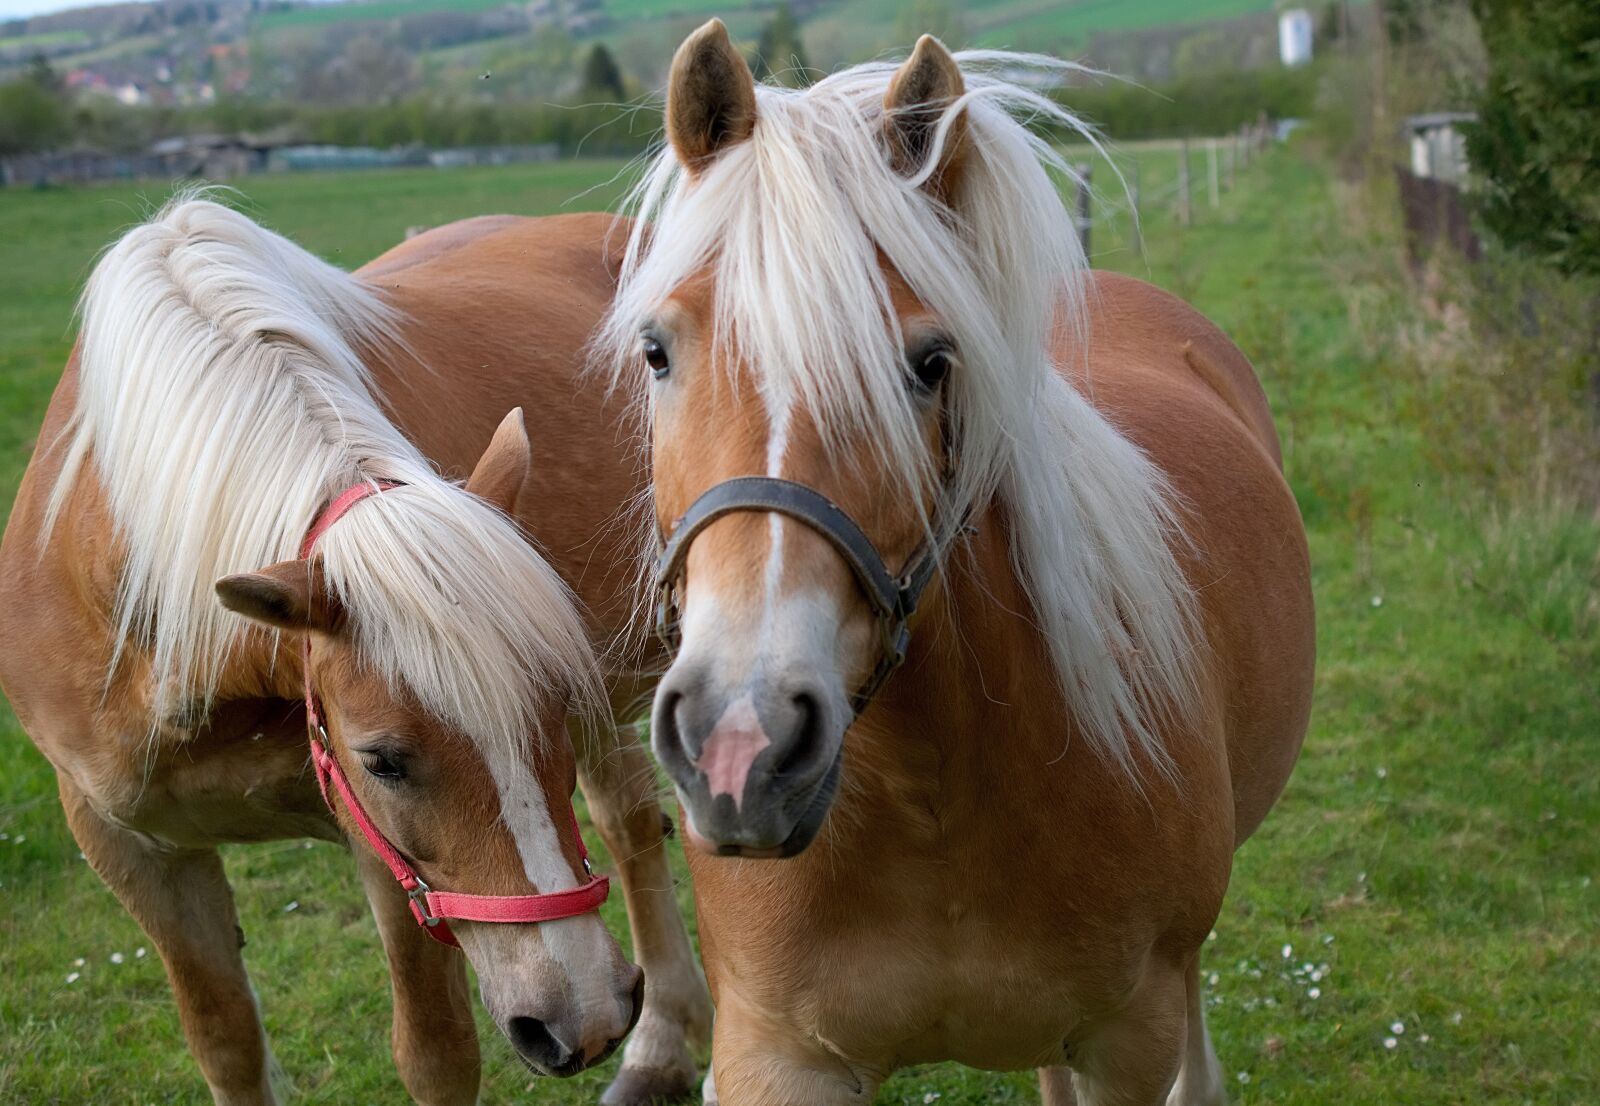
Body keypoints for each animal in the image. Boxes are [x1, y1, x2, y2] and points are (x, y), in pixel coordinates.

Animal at [0, 197, 714, 1105]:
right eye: (384, 760)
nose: (586, 1011)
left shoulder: (386, 863)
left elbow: (437, 1056)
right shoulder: (130, 847)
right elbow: (226, 1044)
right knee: (626, 820)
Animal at [597, 23, 1315, 1105]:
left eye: (930, 364)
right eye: (655, 351)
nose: (741, 743)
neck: (930, 790)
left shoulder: (1128, 1040)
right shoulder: (775, 1056)